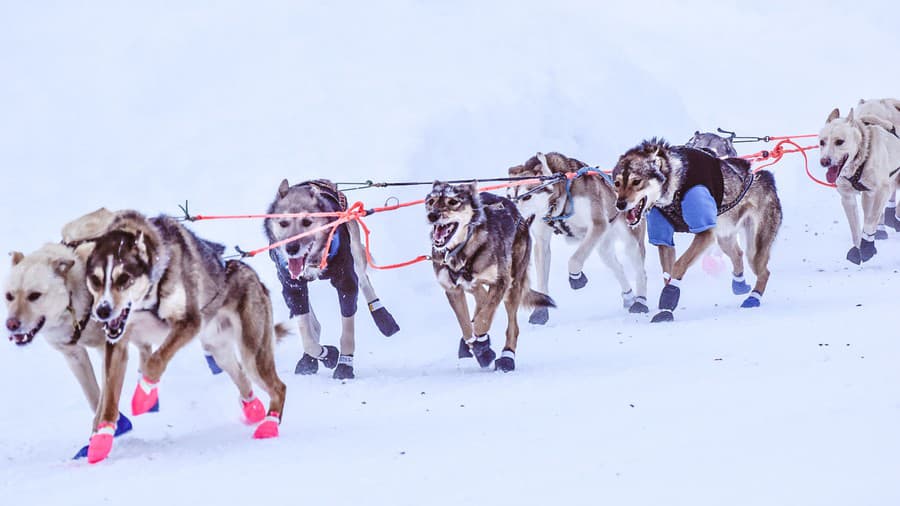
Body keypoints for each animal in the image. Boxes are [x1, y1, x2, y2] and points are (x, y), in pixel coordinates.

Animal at [262, 178, 400, 380]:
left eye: (307, 222)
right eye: (283, 223)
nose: (291, 248)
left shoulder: (346, 281)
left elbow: (347, 331)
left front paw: (344, 364)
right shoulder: (292, 286)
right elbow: (307, 336)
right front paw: (326, 355)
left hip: (355, 252)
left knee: (364, 281)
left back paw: (384, 319)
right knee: (312, 321)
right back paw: (309, 359)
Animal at [424, 182, 556, 372]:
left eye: (453, 202)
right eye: (431, 201)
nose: (432, 215)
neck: (462, 249)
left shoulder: (501, 281)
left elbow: (483, 319)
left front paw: (482, 344)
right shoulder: (453, 289)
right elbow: (466, 325)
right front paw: (479, 346)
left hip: (513, 286)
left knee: (512, 326)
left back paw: (507, 357)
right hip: (475, 284)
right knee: (481, 297)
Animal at [506, 151, 648, 324]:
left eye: (526, 197)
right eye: (509, 196)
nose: (510, 216)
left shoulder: (598, 224)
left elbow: (574, 260)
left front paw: (577, 278)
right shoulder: (541, 243)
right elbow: (542, 279)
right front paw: (540, 311)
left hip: (631, 243)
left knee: (641, 273)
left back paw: (641, 302)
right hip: (604, 249)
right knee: (618, 268)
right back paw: (628, 296)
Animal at [612, 136, 780, 322]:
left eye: (636, 181)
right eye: (617, 183)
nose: (620, 204)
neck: (675, 187)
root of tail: (762, 176)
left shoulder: (705, 233)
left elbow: (679, 265)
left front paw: (668, 298)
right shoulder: (663, 239)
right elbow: (668, 272)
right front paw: (666, 305)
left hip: (755, 249)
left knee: (764, 272)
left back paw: (753, 298)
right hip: (724, 238)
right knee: (737, 254)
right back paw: (739, 284)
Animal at [820, 107, 900, 264]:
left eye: (839, 142)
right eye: (822, 142)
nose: (824, 161)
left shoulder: (882, 191)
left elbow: (871, 219)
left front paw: (867, 247)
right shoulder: (848, 198)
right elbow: (855, 227)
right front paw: (858, 249)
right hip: (867, 196)